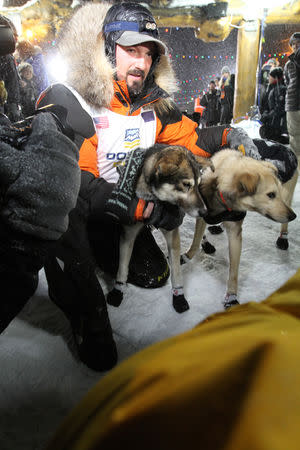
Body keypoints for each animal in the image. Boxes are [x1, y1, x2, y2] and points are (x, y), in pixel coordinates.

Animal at [106, 144, 212, 312]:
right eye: (186, 185)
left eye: (196, 184)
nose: (204, 211)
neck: (154, 200)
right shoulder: (128, 234)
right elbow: (122, 267)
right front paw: (118, 289)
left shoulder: (172, 233)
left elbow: (176, 271)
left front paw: (179, 297)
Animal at [182, 149, 296, 308]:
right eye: (271, 195)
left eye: (277, 193)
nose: (293, 216)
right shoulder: (203, 216)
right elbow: (196, 240)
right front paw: (188, 255)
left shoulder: (235, 231)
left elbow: (234, 270)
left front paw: (231, 295)